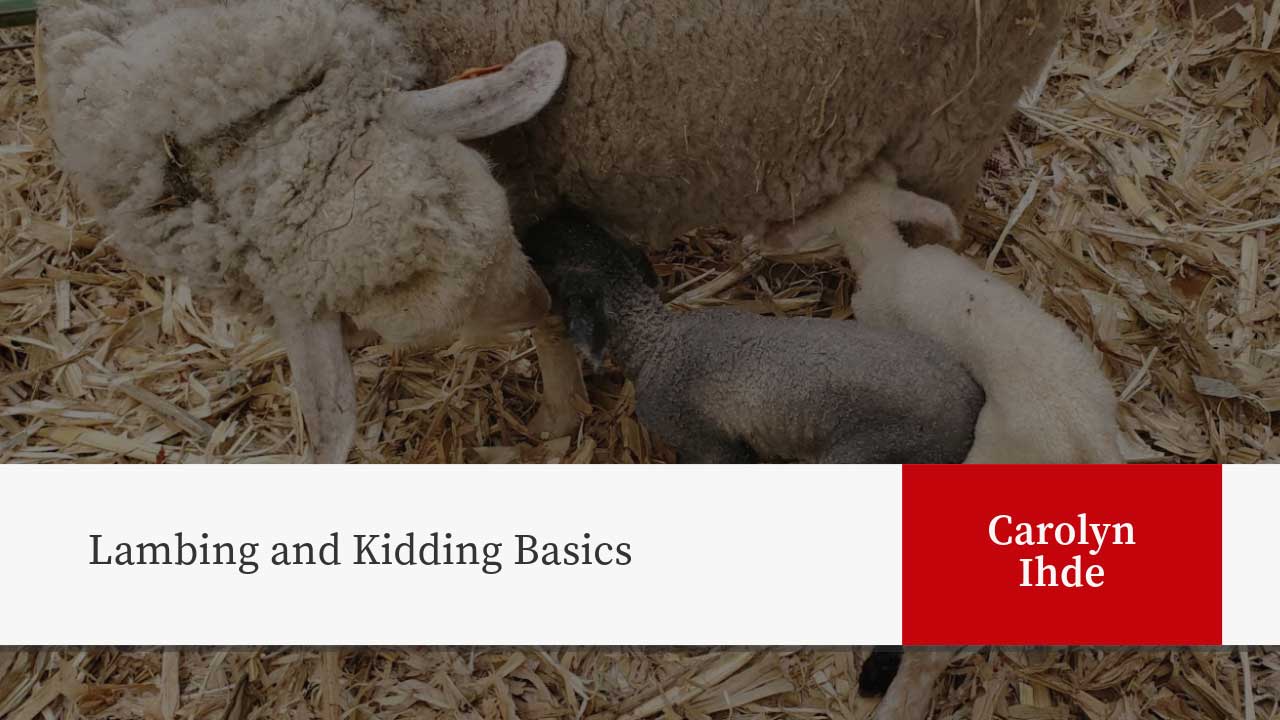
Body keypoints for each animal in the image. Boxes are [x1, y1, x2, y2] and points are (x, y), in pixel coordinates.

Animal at [519, 206, 977, 466]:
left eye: (552, 266)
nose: (527, 230)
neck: (658, 343)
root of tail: (972, 408)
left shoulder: (706, 442)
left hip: (872, 451)